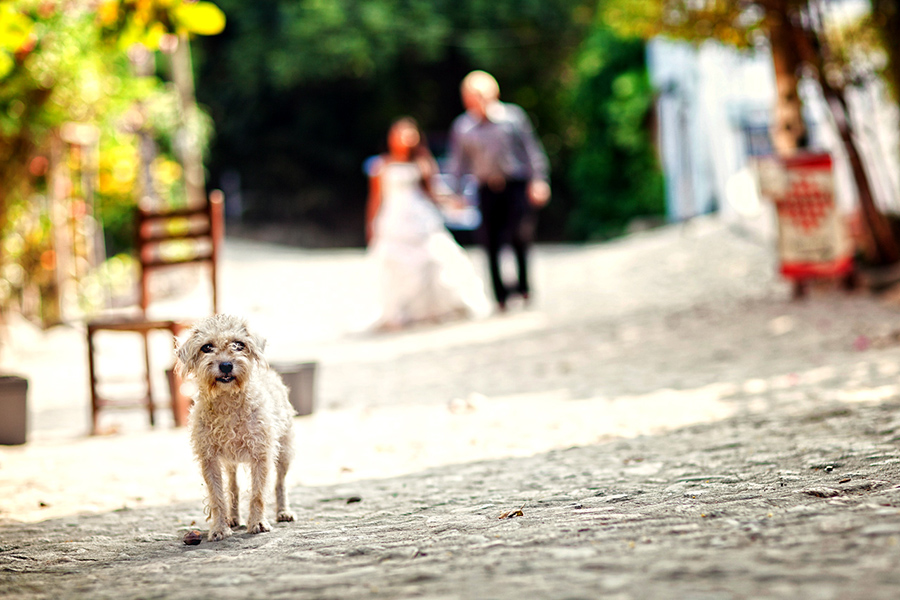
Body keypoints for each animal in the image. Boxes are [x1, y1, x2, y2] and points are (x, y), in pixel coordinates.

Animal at [177, 316, 298, 540]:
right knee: (233, 486)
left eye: (239, 345)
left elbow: (258, 493)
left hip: (284, 452)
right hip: (230, 463)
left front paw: (258, 523)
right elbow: (217, 496)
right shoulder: (210, 459)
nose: (226, 365)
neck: (228, 402)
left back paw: (283, 512)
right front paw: (219, 528)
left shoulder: (261, 455)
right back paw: (233, 518)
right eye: (207, 347)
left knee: (280, 483)